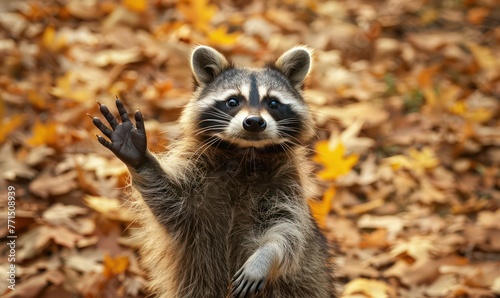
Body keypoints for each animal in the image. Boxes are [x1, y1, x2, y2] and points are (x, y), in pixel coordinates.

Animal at [93, 45, 336, 296]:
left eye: (273, 103)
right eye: (233, 101)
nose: (254, 122)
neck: (245, 154)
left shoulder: (286, 184)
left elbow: (287, 230)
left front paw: (265, 256)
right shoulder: (196, 185)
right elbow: (170, 202)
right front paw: (140, 158)